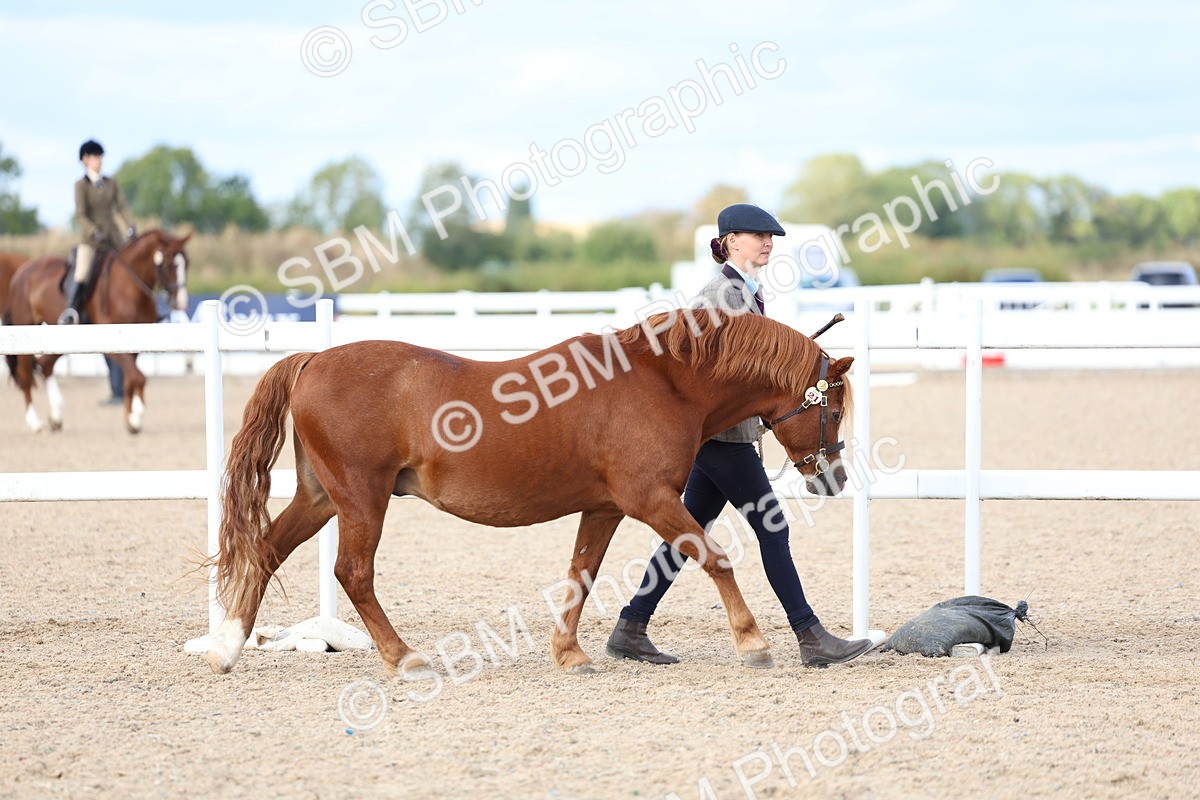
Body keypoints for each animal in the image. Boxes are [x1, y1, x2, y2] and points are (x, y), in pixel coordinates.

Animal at [3, 230, 191, 433]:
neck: (129, 286)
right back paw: (35, 422)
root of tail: (21, 271)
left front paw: (130, 419)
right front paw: (137, 415)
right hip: (25, 329)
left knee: (45, 364)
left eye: (187, 263)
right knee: (26, 374)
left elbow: (130, 379)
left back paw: (56, 416)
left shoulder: (134, 345)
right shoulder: (113, 344)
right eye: (170, 264)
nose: (182, 303)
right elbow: (138, 377)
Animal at [204, 307, 856, 678]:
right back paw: (403, 657)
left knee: (266, 551)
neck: (663, 382)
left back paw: (227, 649)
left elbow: (582, 575)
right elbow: (715, 558)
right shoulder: (649, 500)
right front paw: (753, 643)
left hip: (320, 499)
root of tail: (313, 358)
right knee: (352, 573)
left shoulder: (604, 507)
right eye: (833, 409)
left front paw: (570, 653)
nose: (834, 478)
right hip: (362, 498)